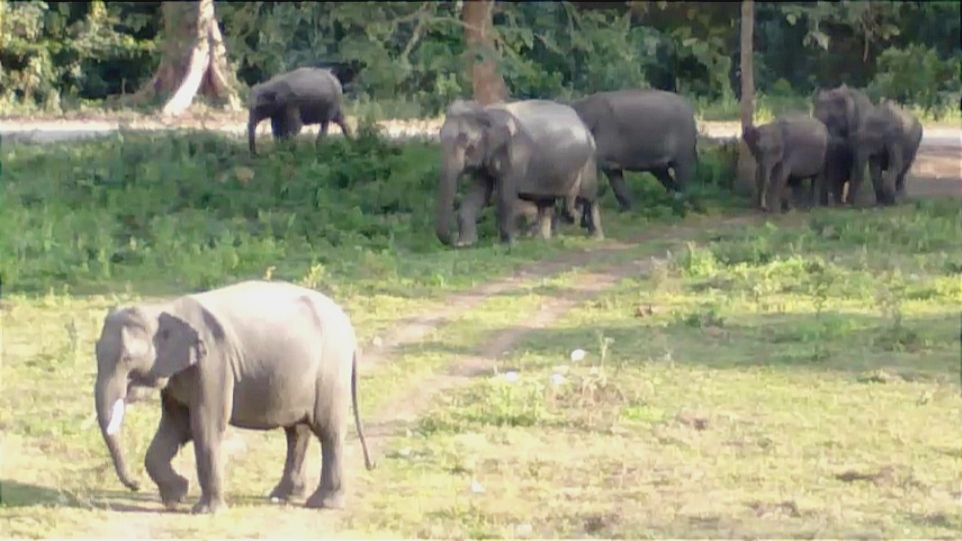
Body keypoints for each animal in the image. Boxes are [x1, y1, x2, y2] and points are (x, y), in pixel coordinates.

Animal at [93, 280, 375, 515]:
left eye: (126, 358)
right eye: (96, 352)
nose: (135, 485)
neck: (164, 308)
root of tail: (349, 327)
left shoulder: (214, 365)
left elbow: (205, 425)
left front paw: (204, 511)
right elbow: (175, 426)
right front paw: (177, 496)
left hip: (330, 372)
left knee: (328, 430)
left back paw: (323, 504)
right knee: (297, 432)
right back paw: (283, 495)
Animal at [435, 98, 603, 247]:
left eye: (467, 142)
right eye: (440, 137)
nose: (453, 237)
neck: (486, 111)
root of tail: (583, 124)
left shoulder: (517, 155)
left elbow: (505, 195)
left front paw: (508, 243)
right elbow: (479, 193)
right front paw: (465, 244)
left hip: (589, 160)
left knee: (589, 196)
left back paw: (595, 235)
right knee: (546, 202)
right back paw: (542, 240)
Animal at [568, 89, 699, 211]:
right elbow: (614, 177)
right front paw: (629, 210)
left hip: (684, 143)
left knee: (683, 173)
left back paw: (684, 206)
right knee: (665, 175)